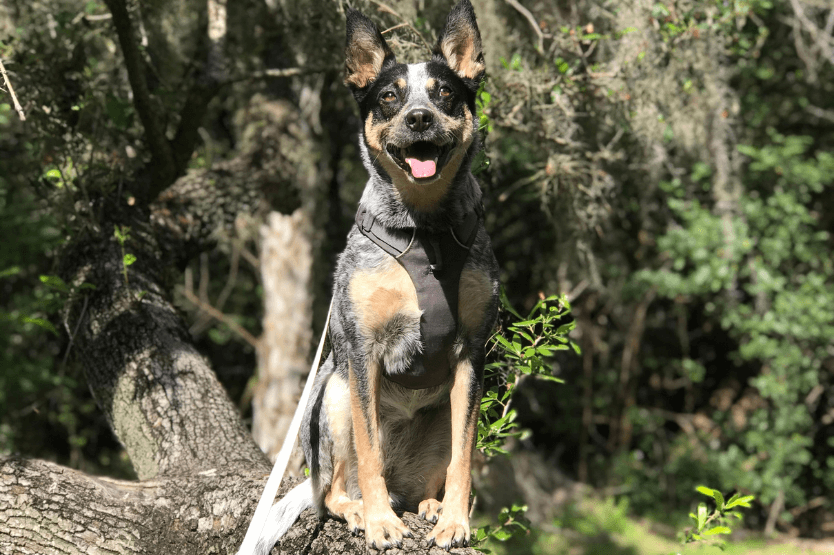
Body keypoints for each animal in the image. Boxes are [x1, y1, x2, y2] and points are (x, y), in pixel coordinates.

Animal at [254, 1, 498, 552]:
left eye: (444, 92)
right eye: (389, 96)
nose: (419, 117)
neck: (423, 229)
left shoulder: (472, 354)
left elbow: (464, 457)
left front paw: (456, 520)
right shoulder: (363, 350)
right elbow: (368, 454)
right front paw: (381, 522)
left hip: (439, 416)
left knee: (431, 472)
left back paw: (429, 506)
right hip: (333, 397)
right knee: (333, 489)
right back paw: (361, 509)